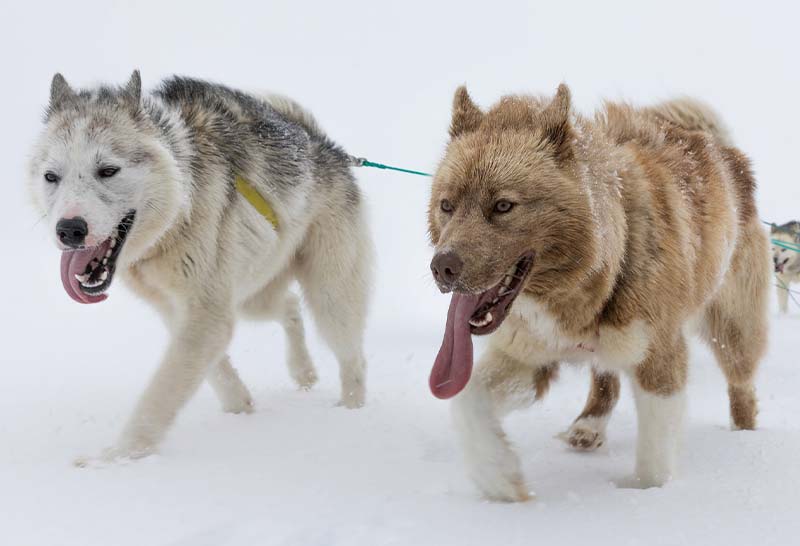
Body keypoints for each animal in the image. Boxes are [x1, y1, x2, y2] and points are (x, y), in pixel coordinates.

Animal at [28, 71, 372, 464]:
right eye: (51, 176)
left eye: (108, 170)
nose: (69, 229)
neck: (176, 216)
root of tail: (322, 143)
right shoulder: (184, 312)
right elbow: (215, 372)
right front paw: (240, 406)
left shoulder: (206, 315)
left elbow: (161, 393)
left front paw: (119, 455)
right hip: (250, 299)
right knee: (289, 307)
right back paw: (303, 373)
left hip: (330, 300)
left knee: (353, 358)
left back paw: (351, 412)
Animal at [428, 83, 772, 500]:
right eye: (447, 205)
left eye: (503, 205)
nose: (442, 266)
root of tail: (726, 155)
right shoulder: (530, 353)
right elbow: (467, 400)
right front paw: (500, 478)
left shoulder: (659, 357)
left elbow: (655, 459)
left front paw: (651, 496)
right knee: (605, 376)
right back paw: (589, 424)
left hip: (733, 329)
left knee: (742, 384)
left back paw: (744, 436)